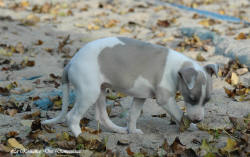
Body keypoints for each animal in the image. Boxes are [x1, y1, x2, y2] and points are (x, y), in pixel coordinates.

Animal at [42, 37, 218, 137]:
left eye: (207, 101)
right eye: (191, 99)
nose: (199, 119)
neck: (176, 68)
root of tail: (71, 62)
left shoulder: (140, 96)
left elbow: (133, 114)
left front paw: (132, 131)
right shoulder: (165, 100)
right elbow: (179, 114)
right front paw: (190, 125)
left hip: (100, 91)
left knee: (102, 116)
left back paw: (119, 130)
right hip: (88, 93)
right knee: (72, 117)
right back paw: (80, 137)